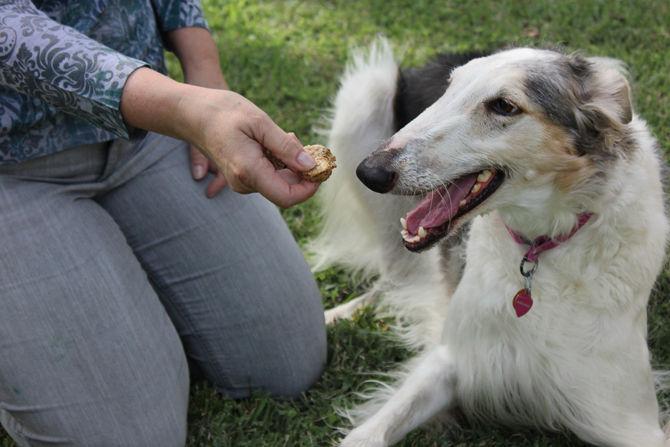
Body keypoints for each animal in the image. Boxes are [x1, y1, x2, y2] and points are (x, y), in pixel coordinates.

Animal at [314, 39, 670, 447]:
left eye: (504, 106)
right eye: (449, 89)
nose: (370, 171)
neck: (538, 249)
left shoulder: (630, 417)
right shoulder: (453, 358)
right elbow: (367, 434)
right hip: (366, 92)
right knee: (391, 276)